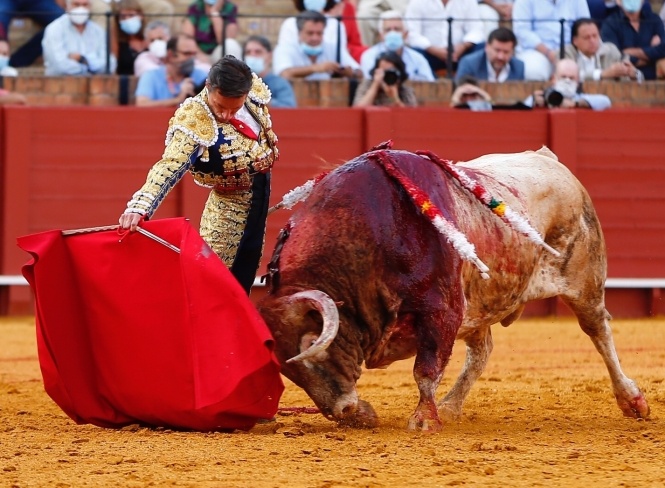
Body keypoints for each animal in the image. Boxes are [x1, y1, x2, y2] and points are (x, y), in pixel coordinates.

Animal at [258, 144, 648, 430]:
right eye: (287, 370)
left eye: (313, 346)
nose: (341, 411)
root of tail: (547, 159)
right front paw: (371, 414)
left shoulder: (441, 311)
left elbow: (425, 371)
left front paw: (423, 421)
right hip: (479, 303)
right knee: (482, 351)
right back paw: (451, 406)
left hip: (584, 282)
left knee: (598, 331)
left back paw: (632, 401)